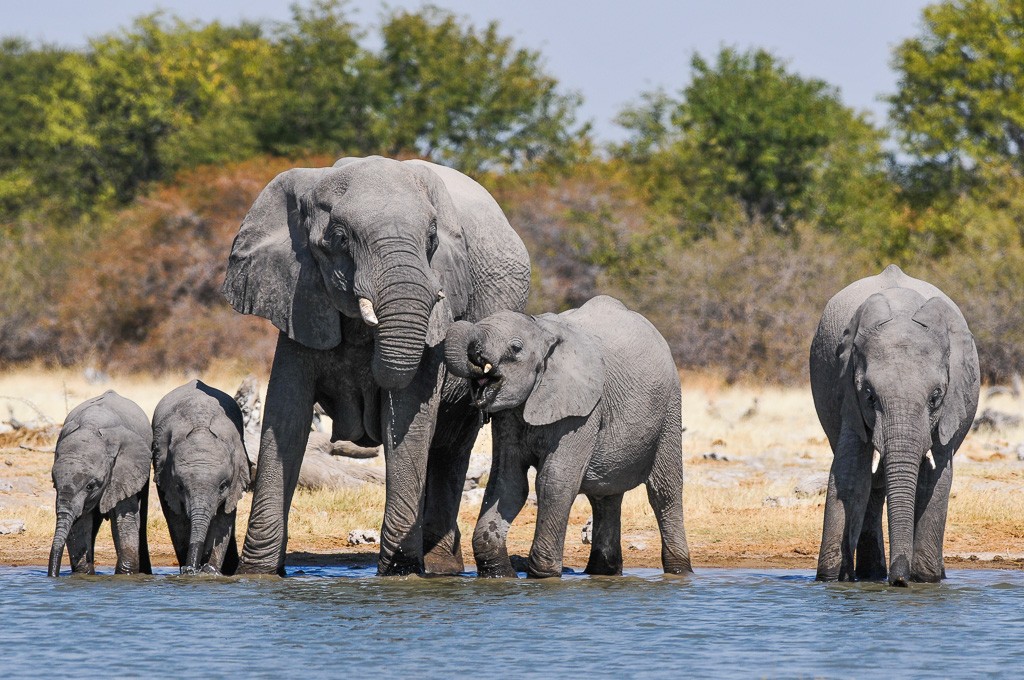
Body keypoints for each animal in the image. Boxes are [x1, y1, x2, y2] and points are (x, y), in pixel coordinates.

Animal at [48, 391, 152, 577]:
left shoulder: (124, 471)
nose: (53, 576)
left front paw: (126, 574)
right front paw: (84, 574)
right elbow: (80, 524)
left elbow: (125, 520)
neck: (92, 424)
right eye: (54, 485)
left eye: (91, 486)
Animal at [151, 378, 251, 577]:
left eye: (223, 486)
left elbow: (223, 521)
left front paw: (210, 570)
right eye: (180, 487)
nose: (192, 568)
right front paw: (189, 570)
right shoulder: (164, 475)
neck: (200, 427)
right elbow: (177, 520)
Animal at [222, 156, 528, 577]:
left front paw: (401, 572)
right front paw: (257, 574)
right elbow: (285, 418)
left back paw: (440, 568)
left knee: (450, 445)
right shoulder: (299, 299)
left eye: (431, 239)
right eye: (339, 238)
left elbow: (409, 417)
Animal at [444, 294, 692, 577]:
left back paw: (679, 571)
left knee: (664, 491)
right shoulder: (509, 417)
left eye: (515, 348)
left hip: (670, 408)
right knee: (605, 496)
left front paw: (543, 575)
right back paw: (602, 572)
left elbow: (554, 480)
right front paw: (499, 574)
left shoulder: (583, 410)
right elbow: (508, 481)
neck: (542, 331)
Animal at [811, 264, 978, 585]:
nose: (898, 581)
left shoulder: (948, 410)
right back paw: (872, 574)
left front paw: (925, 579)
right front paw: (831, 578)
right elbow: (849, 474)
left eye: (935, 398)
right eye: (869, 396)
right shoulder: (847, 392)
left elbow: (934, 479)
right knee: (873, 486)